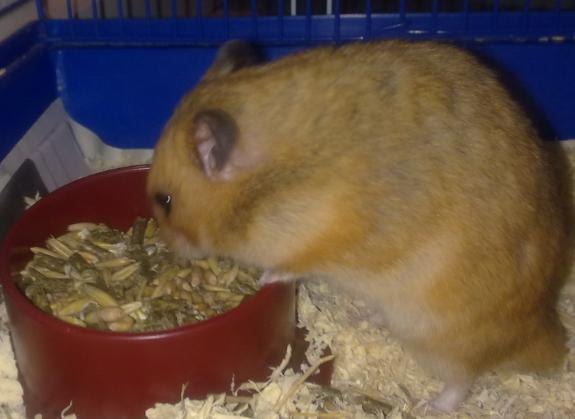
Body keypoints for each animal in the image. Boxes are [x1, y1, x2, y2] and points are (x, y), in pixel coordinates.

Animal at [147, 40, 570, 412]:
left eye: (165, 201)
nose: (169, 248)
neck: (271, 182)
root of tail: (543, 333)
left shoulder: (319, 241)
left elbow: (289, 266)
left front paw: (265, 278)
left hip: (437, 335)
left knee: (461, 380)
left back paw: (429, 406)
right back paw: (361, 318)